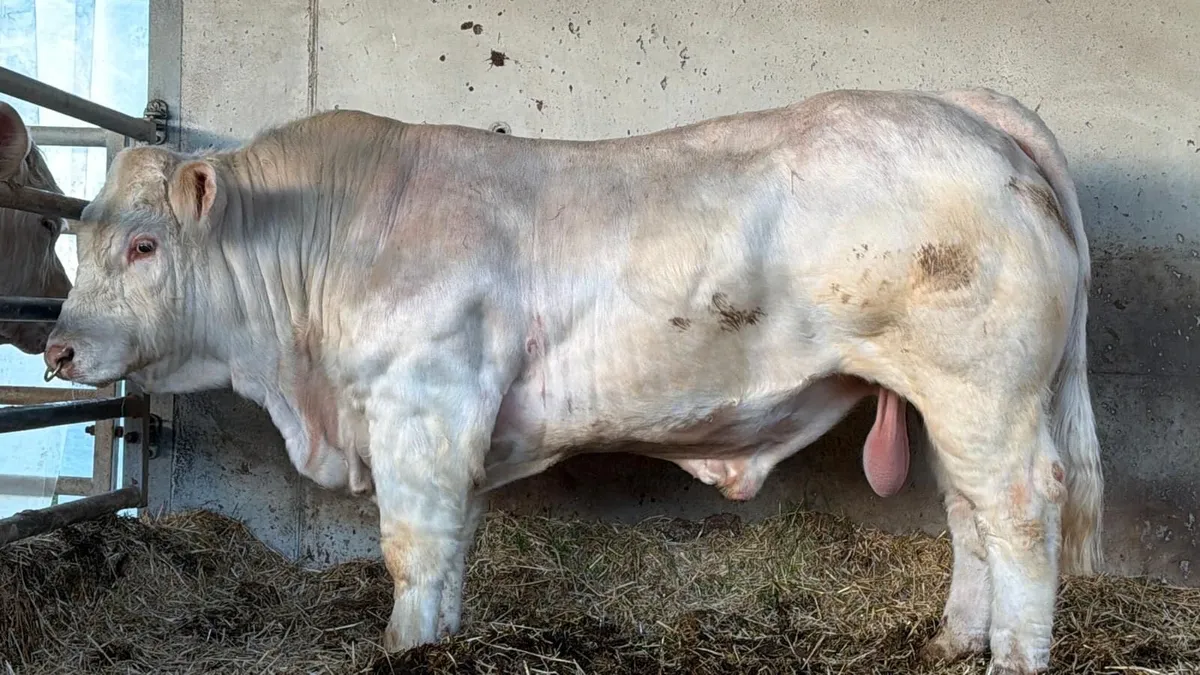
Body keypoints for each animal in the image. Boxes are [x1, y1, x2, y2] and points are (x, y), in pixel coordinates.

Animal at [42, 87, 1103, 674]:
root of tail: (966, 110)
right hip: (947, 398)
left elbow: (412, 547)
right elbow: (452, 546)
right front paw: (443, 639)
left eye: (144, 245)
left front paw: (406, 647)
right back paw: (954, 642)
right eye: (77, 236)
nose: (55, 351)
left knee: (1019, 508)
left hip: (984, 387)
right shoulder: (452, 428)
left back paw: (1013, 658)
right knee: (968, 513)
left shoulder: (422, 403)